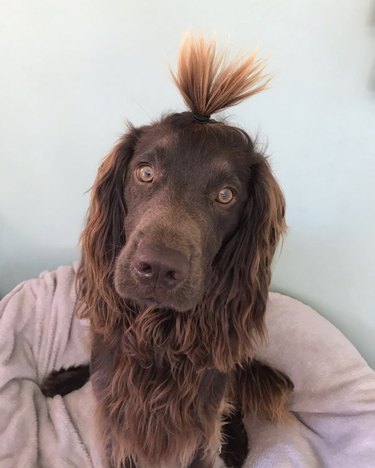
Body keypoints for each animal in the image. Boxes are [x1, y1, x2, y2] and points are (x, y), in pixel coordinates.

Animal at [42, 33, 296, 468]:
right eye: (145, 172)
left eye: (226, 196)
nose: (158, 269)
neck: (157, 339)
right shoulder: (116, 419)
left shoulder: (198, 427)